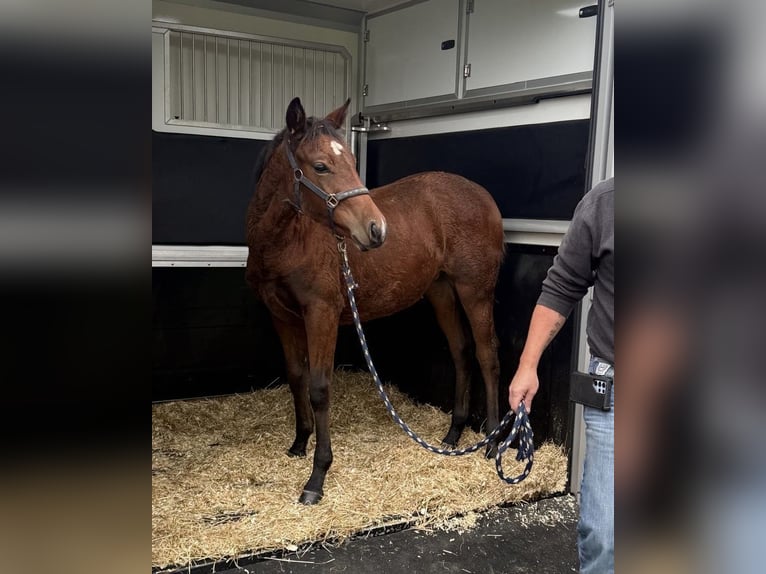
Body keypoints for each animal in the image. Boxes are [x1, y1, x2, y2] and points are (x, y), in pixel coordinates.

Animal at [245, 97, 505, 505]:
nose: (376, 229)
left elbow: (320, 388)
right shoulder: (282, 317)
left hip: (474, 290)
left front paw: (316, 478)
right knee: (461, 351)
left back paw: (492, 443)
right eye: (320, 166)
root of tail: (484, 197)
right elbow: (296, 376)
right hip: (442, 291)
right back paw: (453, 434)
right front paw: (299, 443)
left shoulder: (321, 313)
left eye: (353, 161)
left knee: (486, 354)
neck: (289, 240)